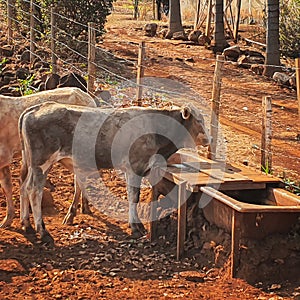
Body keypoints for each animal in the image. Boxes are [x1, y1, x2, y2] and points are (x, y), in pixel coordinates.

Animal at [0, 86, 97, 227]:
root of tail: (86, 96)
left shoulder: (4, 157)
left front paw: (8, 219)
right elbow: (7, 186)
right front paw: (9, 219)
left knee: (78, 181)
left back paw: (72, 214)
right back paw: (85, 207)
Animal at [18, 101, 210, 244]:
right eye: (198, 121)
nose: (209, 139)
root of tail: (36, 108)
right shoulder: (135, 167)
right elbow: (134, 196)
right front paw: (136, 226)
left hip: (30, 163)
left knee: (23, 186)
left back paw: (26, 224)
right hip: (42, 163)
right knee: (34, 190)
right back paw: (42, 231)